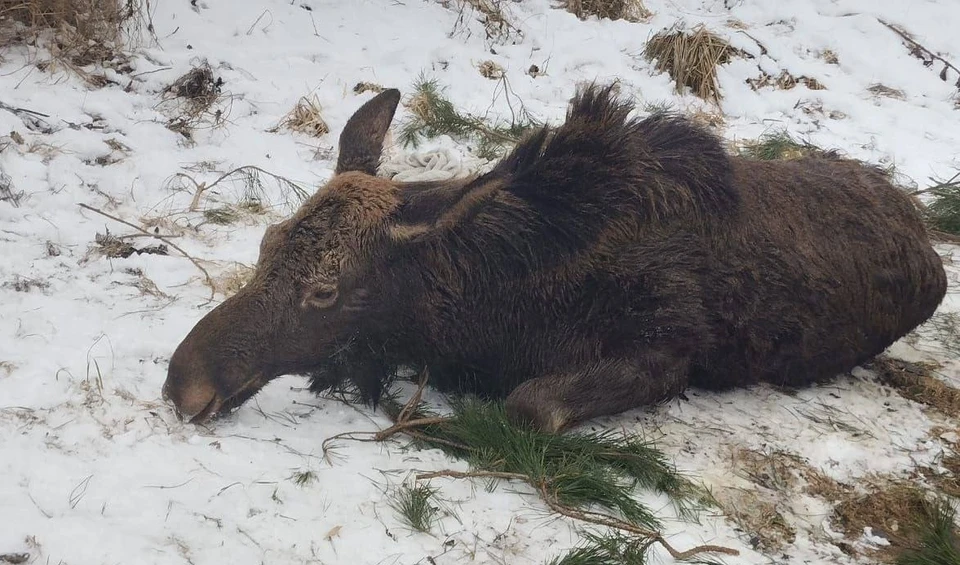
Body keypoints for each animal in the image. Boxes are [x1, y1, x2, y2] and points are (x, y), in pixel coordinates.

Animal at [161, 83, 948, 432]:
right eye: (267, 243)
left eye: (325, 289)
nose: (183, 381)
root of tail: (931, 251)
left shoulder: (669, 348)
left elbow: (530, 403)